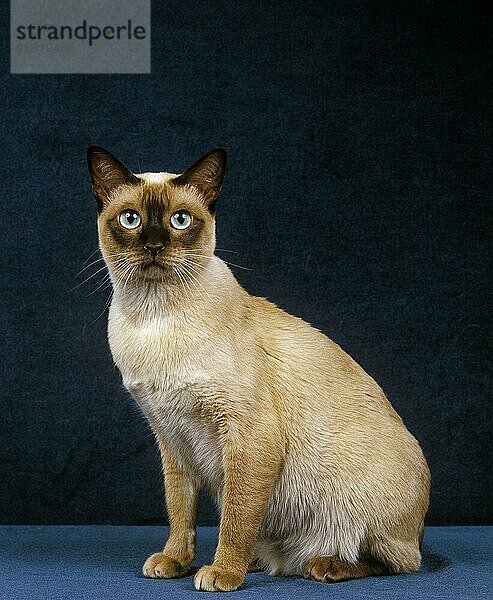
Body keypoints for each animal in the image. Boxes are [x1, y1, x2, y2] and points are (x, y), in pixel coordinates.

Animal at [86, 144, 428, 592]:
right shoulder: (171, 437)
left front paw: (223, 572)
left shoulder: (247, 436)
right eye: (131, 219)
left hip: (363, 507)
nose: (155, 246)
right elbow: (180, 511)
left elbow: (235, 519)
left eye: (180, 220)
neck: (154, 318)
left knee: (394, 561)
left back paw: (322, 565)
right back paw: (260, 563)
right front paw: (176, 561)